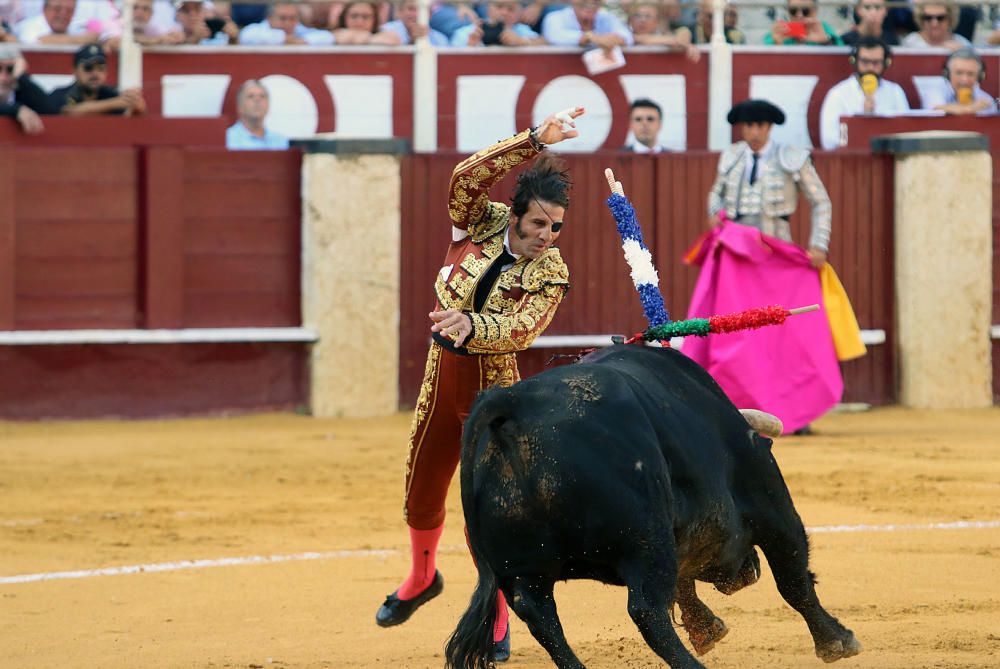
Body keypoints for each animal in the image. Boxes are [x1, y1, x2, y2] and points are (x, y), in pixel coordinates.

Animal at [444, 344, 860, 668]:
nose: (748, 572)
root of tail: (513, 404)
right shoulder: (768, 499)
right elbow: (794, 576)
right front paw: (836, 640)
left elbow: (685, 580)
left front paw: (706, 628)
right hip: (645, 540)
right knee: (646, 610)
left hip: (524, 571)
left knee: (543, 620)